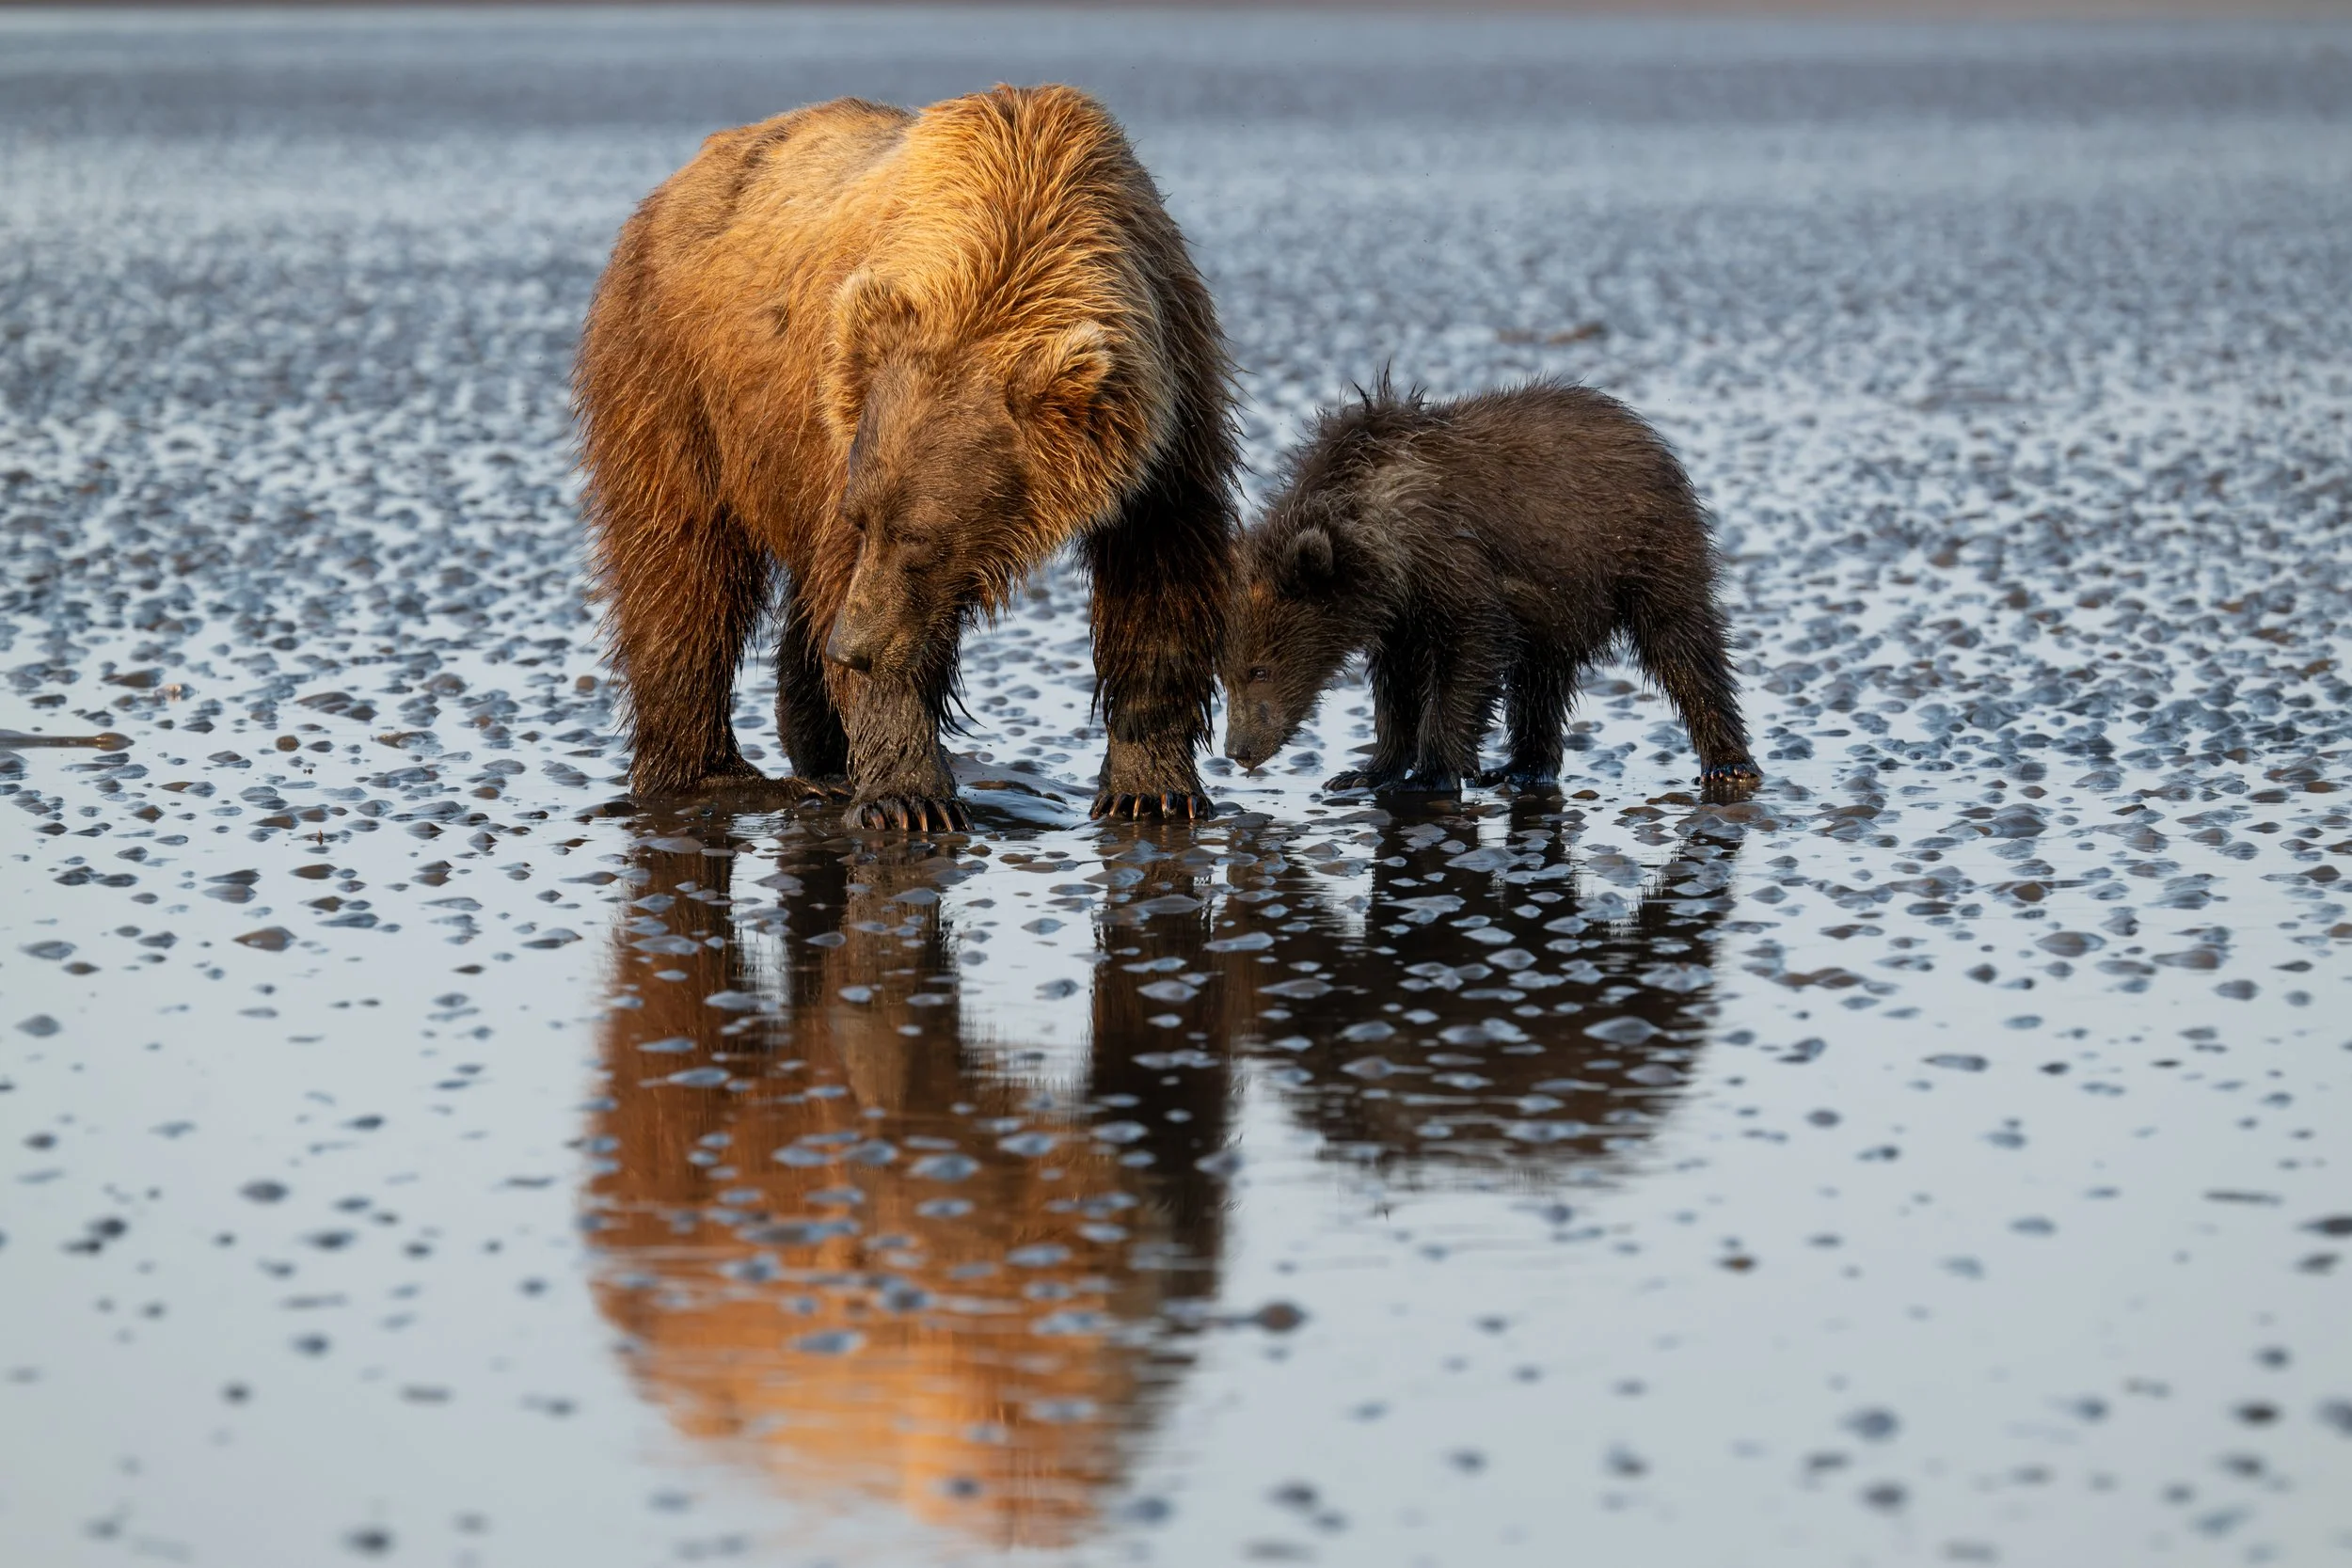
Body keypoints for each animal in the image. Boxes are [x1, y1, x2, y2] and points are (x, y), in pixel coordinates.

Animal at [574, 85, 1238, 830]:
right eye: (865, 518)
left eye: (923, 536)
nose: (852, 646)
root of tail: (674, 184)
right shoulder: (839, 418)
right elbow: (845, 579)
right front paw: (910, 796)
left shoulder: (1170, 408)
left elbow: (1163, 574)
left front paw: (1152, 787)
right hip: (670, 369)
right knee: (681, 563)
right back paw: (718, 775)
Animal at [1220, 378, 1762, 801]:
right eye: (1224, 676)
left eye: (1259, 669)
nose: (1238, 751)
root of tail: (1643, 429)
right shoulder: (1399, 613)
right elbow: (1396, 686)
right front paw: (1365, 772)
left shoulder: (1450, 561)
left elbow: (1469, 647)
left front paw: (1429, 772)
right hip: (1558, 600)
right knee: (1540, 680)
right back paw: (1521, 766)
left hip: (1641, 544)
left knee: (1682, 642)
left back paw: (1727, 761)